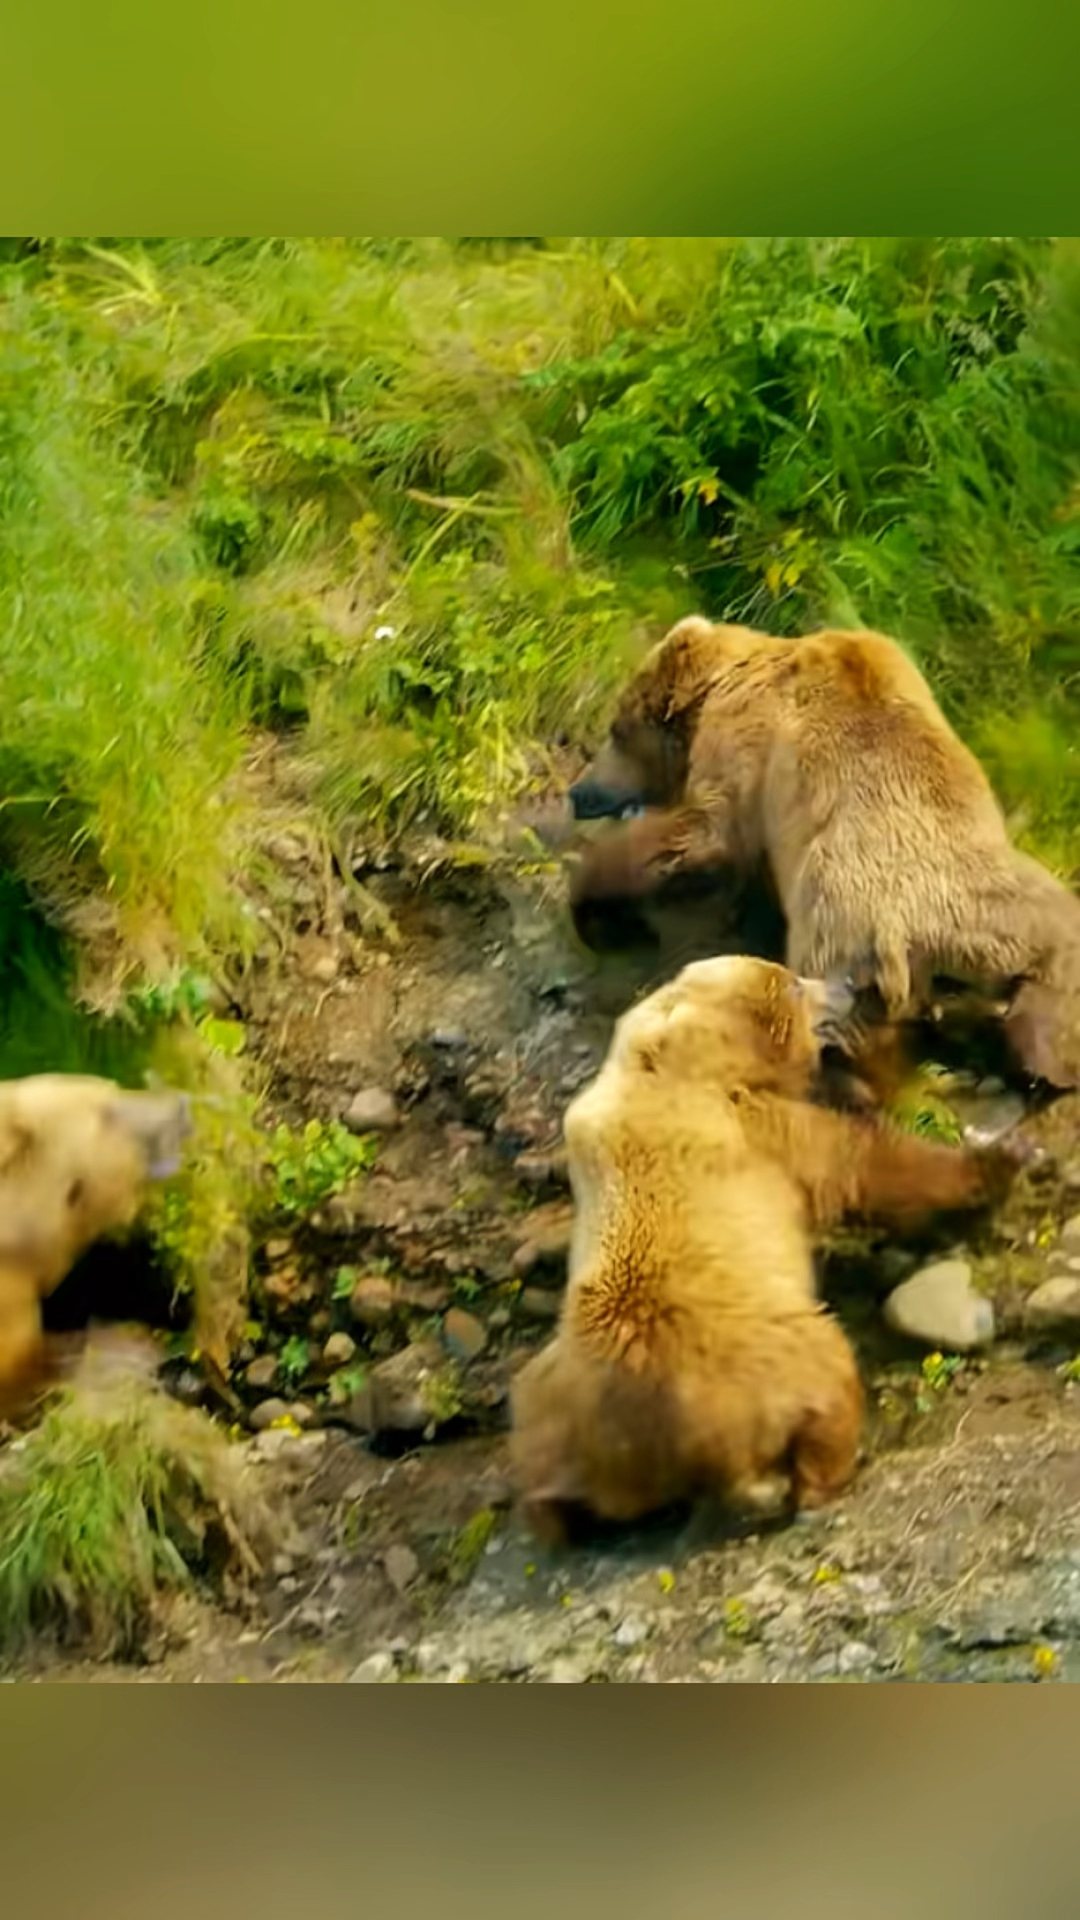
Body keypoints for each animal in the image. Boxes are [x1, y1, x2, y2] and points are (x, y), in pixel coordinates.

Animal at [507, 952, 1022, 1536]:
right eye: (794, 983)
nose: (849, 984)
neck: (682, 1059)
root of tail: (704, 1450)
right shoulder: (758, 1126)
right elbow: (863, 1161)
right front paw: (999, 1159)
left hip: (566, 1409)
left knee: (539, 1441)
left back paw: (555, 1512)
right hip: (772, 1354)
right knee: (827, 1374)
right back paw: (835, 1464)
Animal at [564, 618, 1076, 1090]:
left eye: (617, 729)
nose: (578, 792)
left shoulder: (747, 751)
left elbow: (705, 833)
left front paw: (595, 902)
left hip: (844, 924)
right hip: (1024, 925)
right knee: (1040, 1019)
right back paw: (1029, 1068)